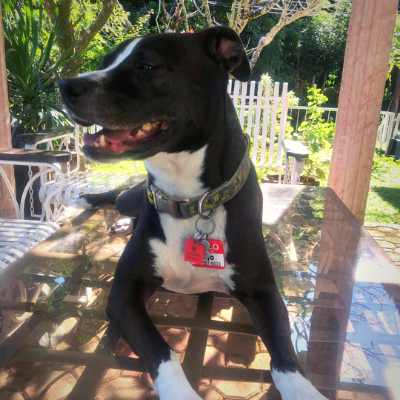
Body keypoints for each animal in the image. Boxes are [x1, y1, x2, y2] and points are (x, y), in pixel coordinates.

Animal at [59, 27, 327, 400]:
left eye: (147, 65)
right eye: (104, 63)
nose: (65, 86)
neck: (190, 201)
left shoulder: (264, 292)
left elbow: (286, 358)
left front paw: (304, 389)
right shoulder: (123, 293)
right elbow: (161, 350)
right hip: (131, 198)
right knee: (119, 197)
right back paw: (89, 202)